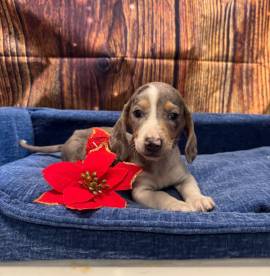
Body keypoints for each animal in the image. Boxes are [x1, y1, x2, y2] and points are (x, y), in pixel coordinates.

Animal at [20, 81, 215, 211]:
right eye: (137, 113)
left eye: (174, 115)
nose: (152, 143)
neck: (159, 164)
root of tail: (66, 141)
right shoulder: (142, 191)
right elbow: (161, 195)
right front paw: (180, 205)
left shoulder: (184, 177)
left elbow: (191, 186)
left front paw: (199, 199)